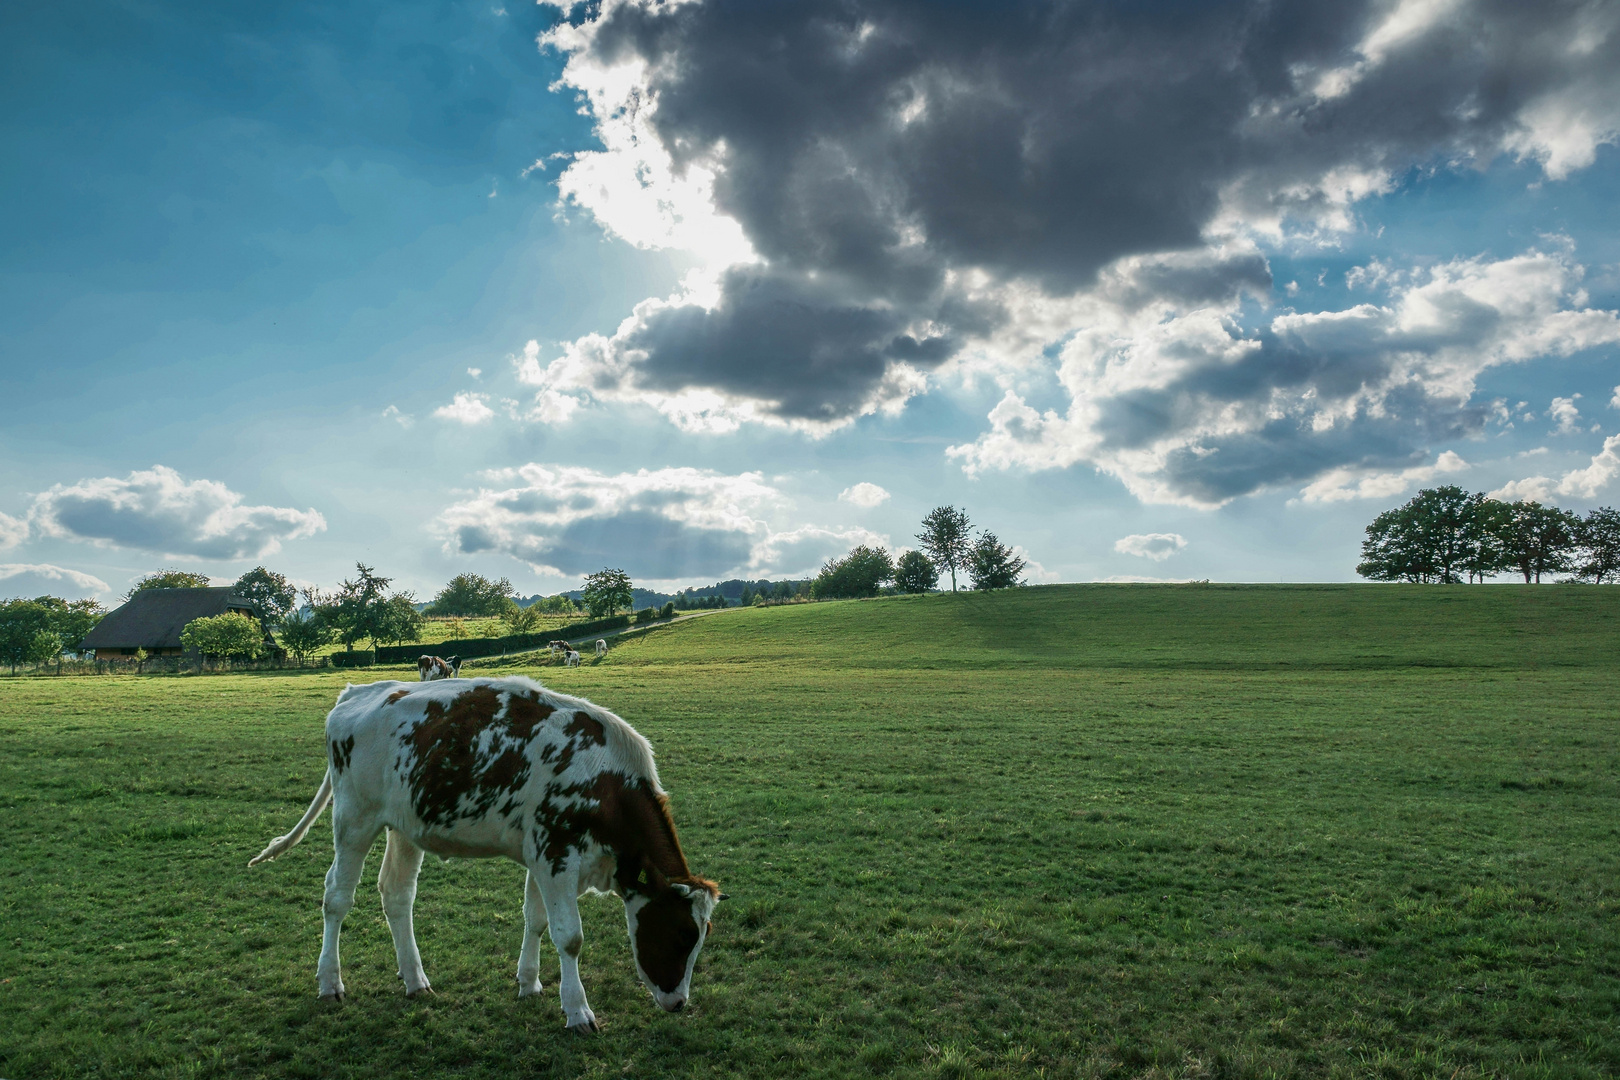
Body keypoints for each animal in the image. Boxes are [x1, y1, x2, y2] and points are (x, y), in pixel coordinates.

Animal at [249, 680, 725, 1036]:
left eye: (703, 934)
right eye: (682, 933)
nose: (678, 1002)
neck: (605, 780)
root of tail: (357, 693)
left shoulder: (541, 856)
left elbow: (536, 921)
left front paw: (529, 983)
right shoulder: (556, 854)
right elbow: (569, 937)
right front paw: (577, 1011)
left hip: (403, 826)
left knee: (397, 896)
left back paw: (415, 980)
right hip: (353, 819)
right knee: (337, 898)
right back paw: (330, 982)